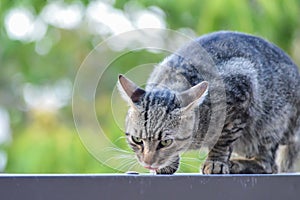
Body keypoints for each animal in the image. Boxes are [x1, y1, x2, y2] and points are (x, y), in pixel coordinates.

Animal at [117, 30, 300, 174]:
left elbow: (223, 139)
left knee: (269, 164)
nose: (148, 162)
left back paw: (237, 164)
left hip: (270, 125)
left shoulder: (241, 93)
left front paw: (215, 162)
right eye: (137, 140)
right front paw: (168, 164)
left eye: (165, 142)